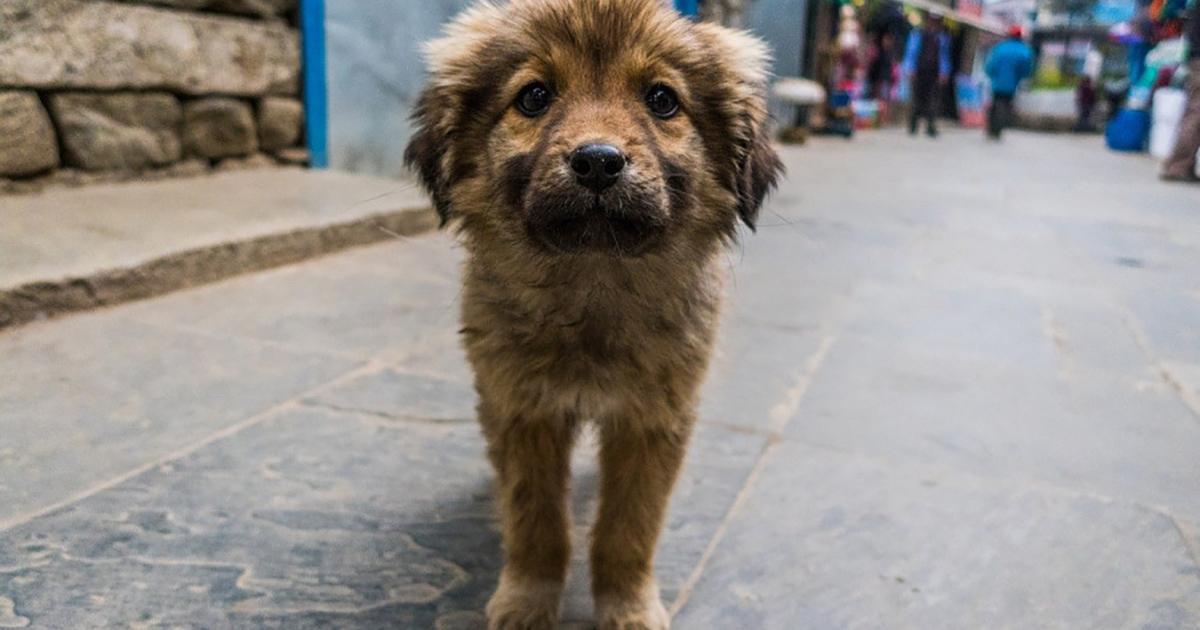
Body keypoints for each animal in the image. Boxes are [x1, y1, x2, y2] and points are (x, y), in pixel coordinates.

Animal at [403, 2, 777, 624]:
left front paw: (628, 608)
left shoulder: (653, 419)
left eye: (661, 99)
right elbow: (536, 522)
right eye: (534, 96)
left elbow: (628, 529)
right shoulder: (523, 408)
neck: (593, 288)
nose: (598, 163)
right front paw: (527, 601)